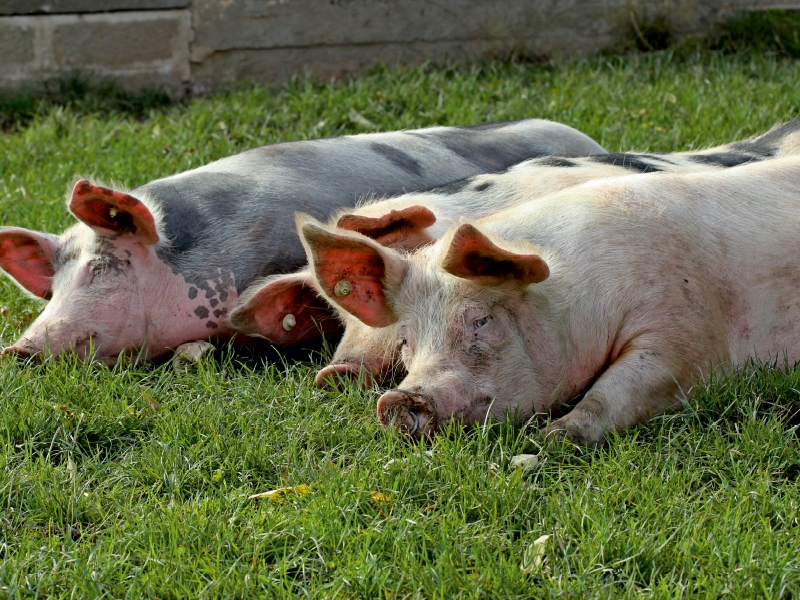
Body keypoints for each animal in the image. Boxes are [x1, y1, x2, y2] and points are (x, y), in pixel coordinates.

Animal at [296, 155, 800, 446]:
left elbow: (624, 389)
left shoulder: (685, 325)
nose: (398, 400)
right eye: (406, 341)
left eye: (481, 321)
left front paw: (547, 444)